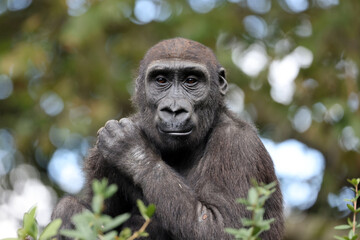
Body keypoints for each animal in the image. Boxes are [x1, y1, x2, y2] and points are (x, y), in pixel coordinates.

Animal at [52, 38, 284, 240]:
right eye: (161, 80)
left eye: (191, 81)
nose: (174, 110)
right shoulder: (100, 160)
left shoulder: (238, 143)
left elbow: (222, 227)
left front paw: (133, 152)